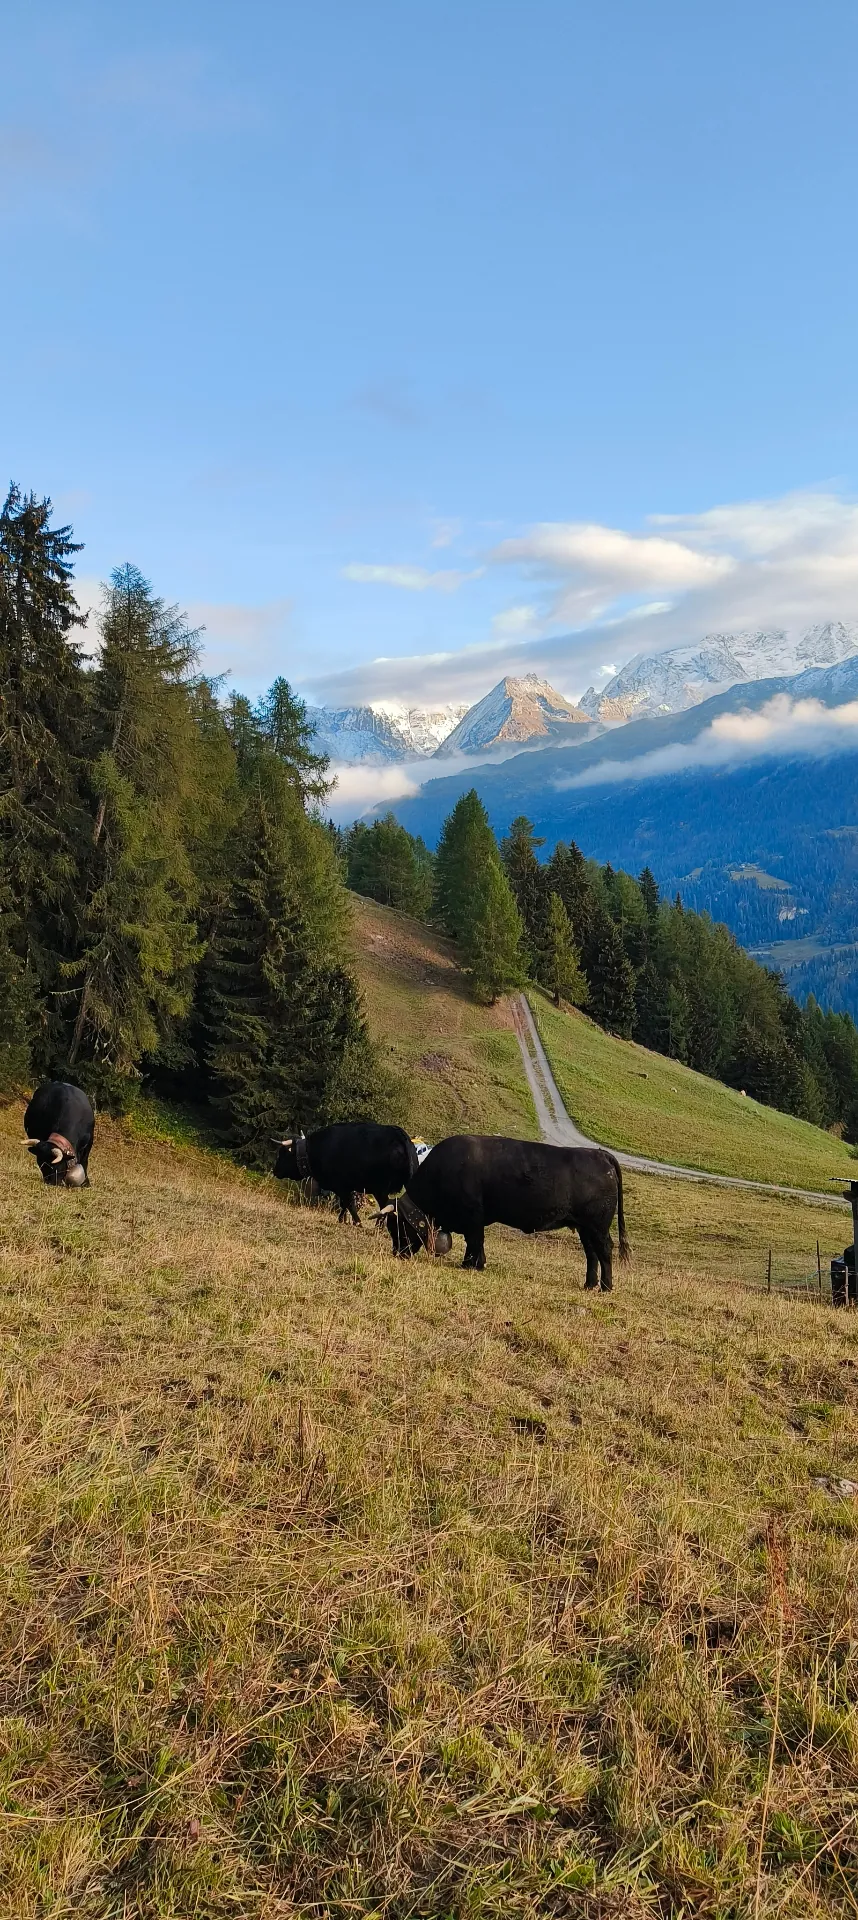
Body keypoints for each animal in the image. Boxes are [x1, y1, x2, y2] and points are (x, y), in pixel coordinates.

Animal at [271, 1122, 420, 1225]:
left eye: (283, 1153)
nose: (275, 1170)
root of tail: (400, 1135)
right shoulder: (347, 1187)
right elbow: (345, 1204)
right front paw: (344, 1220)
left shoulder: (340, 1186)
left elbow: (348, 1203)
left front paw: (356, 1222)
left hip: (380, 1189)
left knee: (387, 1205)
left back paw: (379, 1225)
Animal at [373, 1134, 630, 1287]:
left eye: (396, 1226)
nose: (398, 1253)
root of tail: (599, 1153)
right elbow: (475, 1243)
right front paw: (474, 1263)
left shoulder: (473, 1216)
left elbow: (475, 1241)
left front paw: (472, 1264)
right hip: (585, 1228)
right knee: (591, 1254)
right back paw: (589, 1284)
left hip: (598, 1226)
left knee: (604, 1250)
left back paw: (606, 1286)